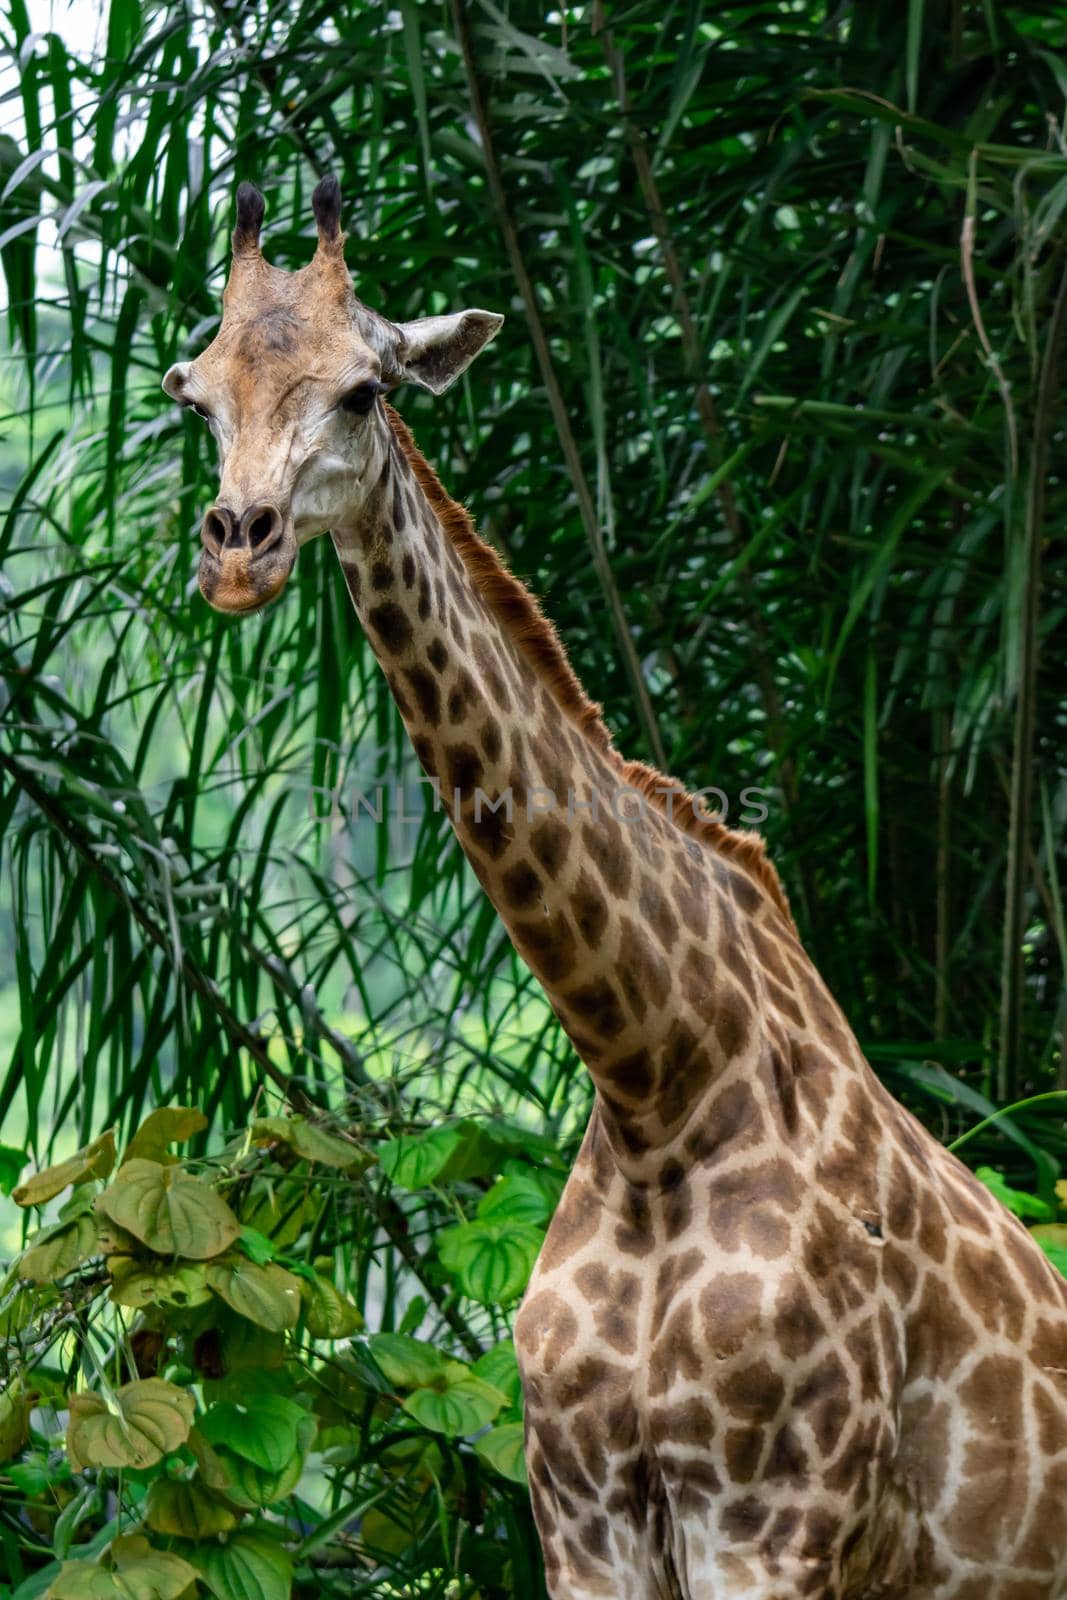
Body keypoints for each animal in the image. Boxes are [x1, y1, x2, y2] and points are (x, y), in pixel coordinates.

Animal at [163, 181, 1067, 1593]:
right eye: (192, 396)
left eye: (365, 391)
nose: (238, 552)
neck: (657, 1082)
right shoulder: (581, 1521)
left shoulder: (771, 1530)